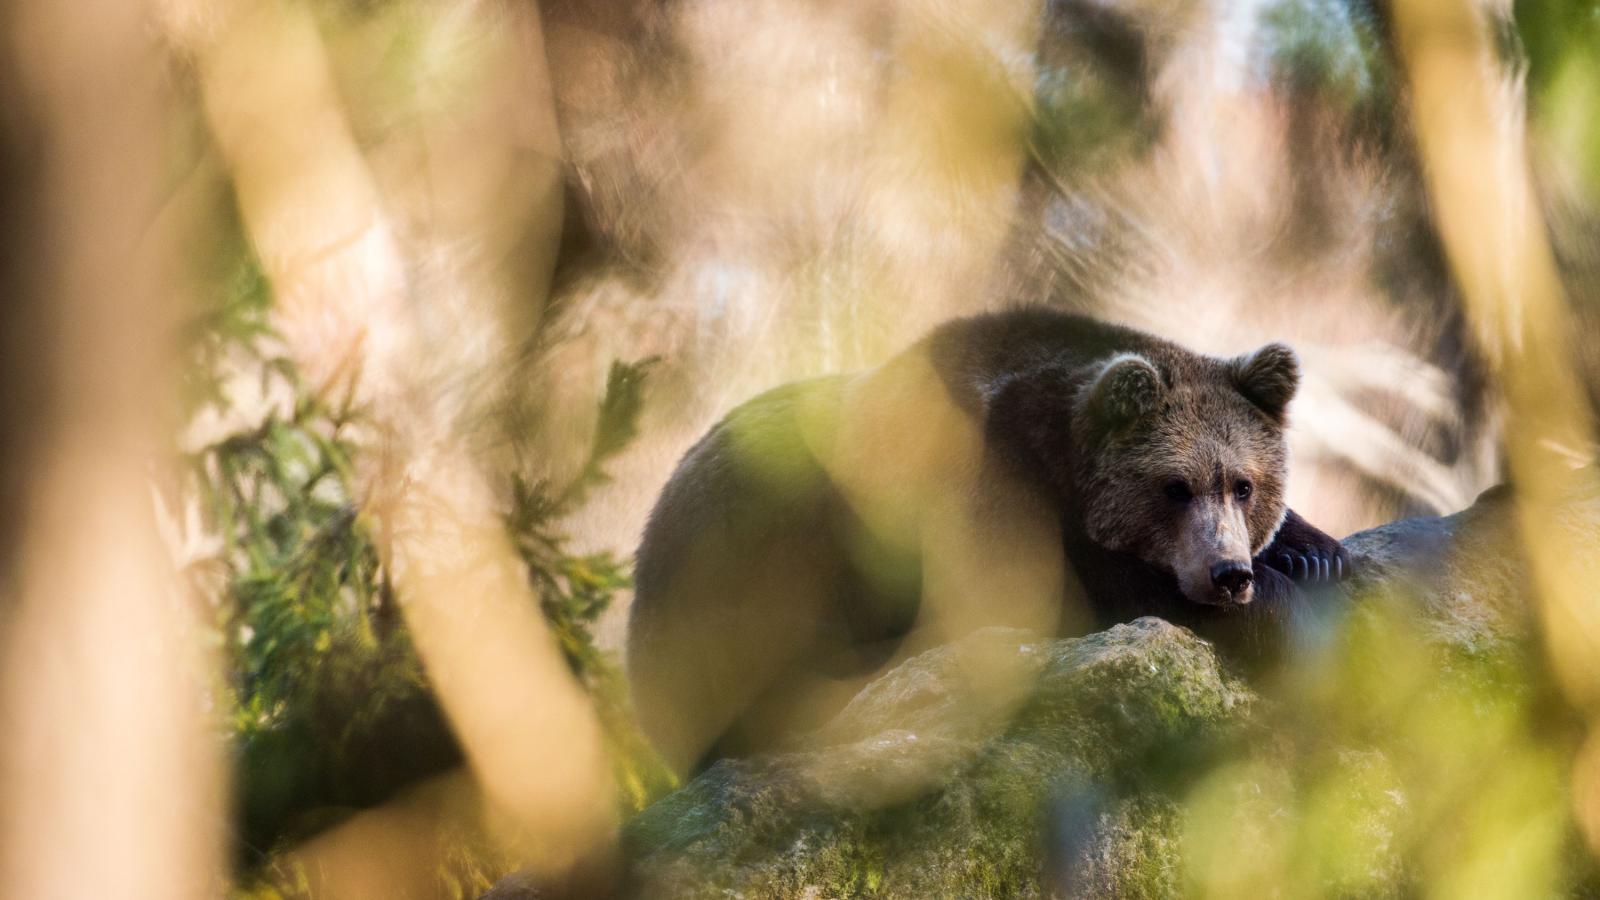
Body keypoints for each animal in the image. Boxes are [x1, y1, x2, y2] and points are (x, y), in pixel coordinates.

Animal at [627, 305, 1350, 771]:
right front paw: (1288, 615)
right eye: (1174, 487)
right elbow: (1032, 600)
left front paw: (1317, 555)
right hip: (745, 547)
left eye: (1244, 485)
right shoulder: (976, 478)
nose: (1228, 574)